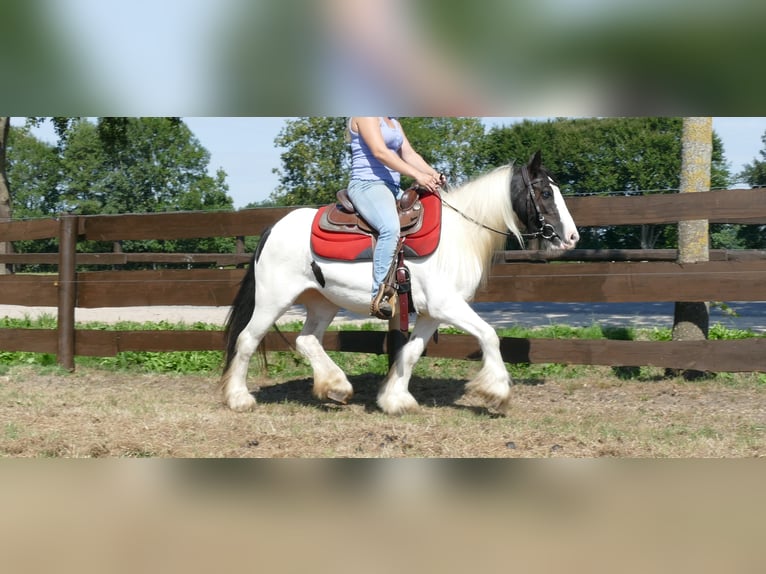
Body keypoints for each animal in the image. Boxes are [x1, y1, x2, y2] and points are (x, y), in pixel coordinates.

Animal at [219, 151, 580, 416]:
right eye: (545, 192)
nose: (572, 238)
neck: (458, 235)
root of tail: (272, 228)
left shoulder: (431, 313)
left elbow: (410, 352)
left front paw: (395, 399)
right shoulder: (446, 305)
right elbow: (490, 335)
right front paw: (496, 393)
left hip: (323, 302)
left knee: (306, 340)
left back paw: (336, 386)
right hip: (273, 300)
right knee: (247, 340)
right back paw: (239, 398)